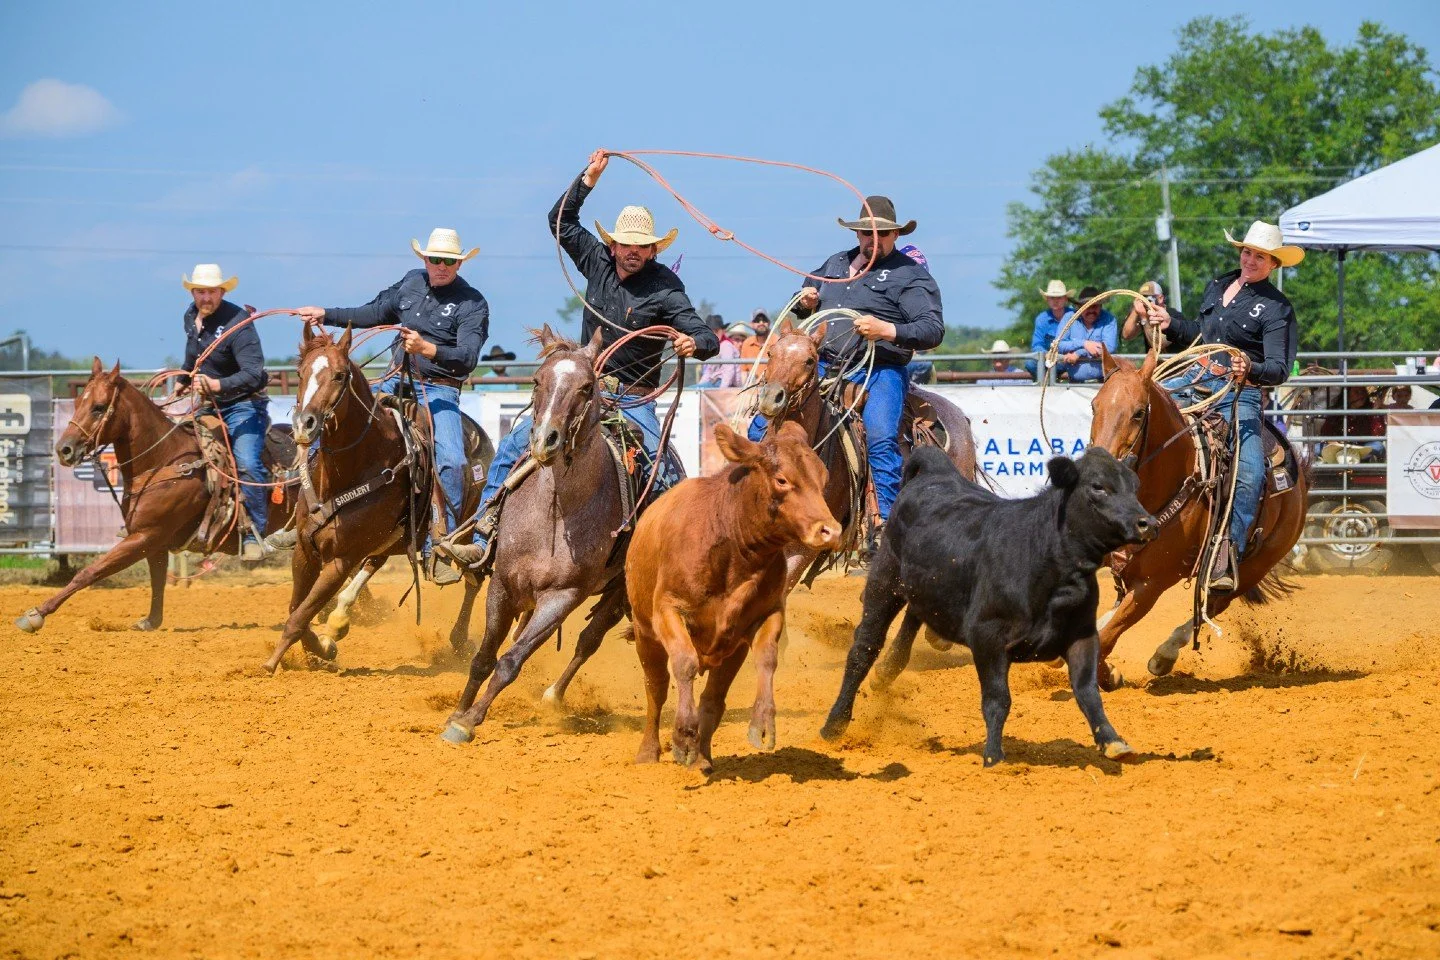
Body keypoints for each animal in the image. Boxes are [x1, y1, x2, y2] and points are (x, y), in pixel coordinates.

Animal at [626, 420, 841, 775]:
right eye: (782, 479)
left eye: (824, 479)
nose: (831, 531)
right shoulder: (668, 610)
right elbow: (683, 663)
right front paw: (683, 739)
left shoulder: (766, 614)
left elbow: (767, 658)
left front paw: (763, 725)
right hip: (646, 634)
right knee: (655, 689)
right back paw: (648, 752)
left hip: (728, 653)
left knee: (713, 699)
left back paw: (702, 757)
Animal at [820, 446, 1156, 766]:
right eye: (1098, 486)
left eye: (1135, 486)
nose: (1147, 523)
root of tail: (937, 473)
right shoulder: (987, 637)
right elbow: (997, 699)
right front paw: (994, 756)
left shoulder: (1082, 636)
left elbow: (1088, 691)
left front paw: (1112, 741)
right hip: (884, 582)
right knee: (864, 648)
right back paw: (834, 723)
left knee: (913, 618)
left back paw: (886, 671)